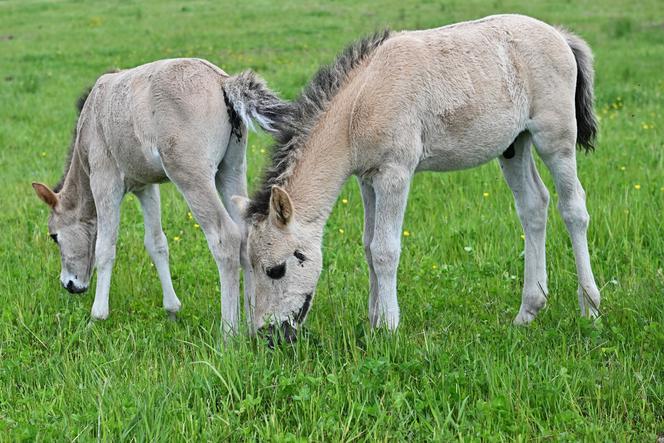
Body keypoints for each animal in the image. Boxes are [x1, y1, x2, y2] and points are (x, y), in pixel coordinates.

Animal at [33, 59, 286, 336]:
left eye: (54, 236)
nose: (69, 284)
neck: (90, 120)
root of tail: (222, 81)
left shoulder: (104, 180)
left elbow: (105, 247)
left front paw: (96, 318)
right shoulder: (146, 187)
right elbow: (156, 243)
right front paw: (172, 311)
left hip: (191, 175)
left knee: (225, 238)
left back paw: (229, 333)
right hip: (232, 169)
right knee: (245, 233)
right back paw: (251, 326)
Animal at [237, 13, 600, 340]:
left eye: (275, 269)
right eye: (249, 266)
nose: (268, 336)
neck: (360, 104)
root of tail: (560, 35)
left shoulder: (394, 173)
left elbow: (385, 249)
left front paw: (388, 328)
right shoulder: (367, 179)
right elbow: (368, 246)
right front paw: (373, 321)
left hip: (554, 138)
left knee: (574, 209)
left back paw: (591, 308)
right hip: (514, 145)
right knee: (533, 206)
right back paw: (528, 312)